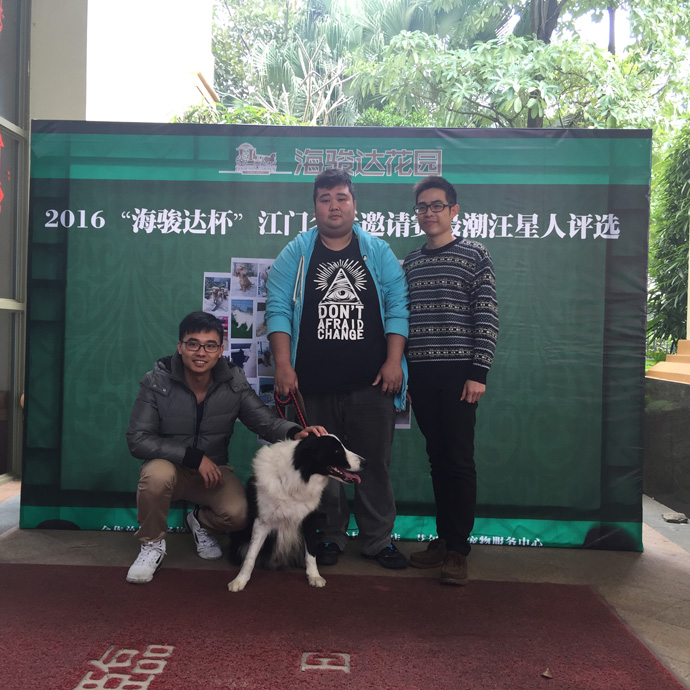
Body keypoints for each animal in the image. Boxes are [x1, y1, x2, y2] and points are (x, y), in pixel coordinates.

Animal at [227, 433, 365, 592]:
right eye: (336, 451)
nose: (365, 462)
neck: (297, 478)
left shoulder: (309, 519)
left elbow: (311, 553)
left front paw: (314, 576)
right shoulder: (262, 521)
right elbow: (250, 555)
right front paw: (240, 580)